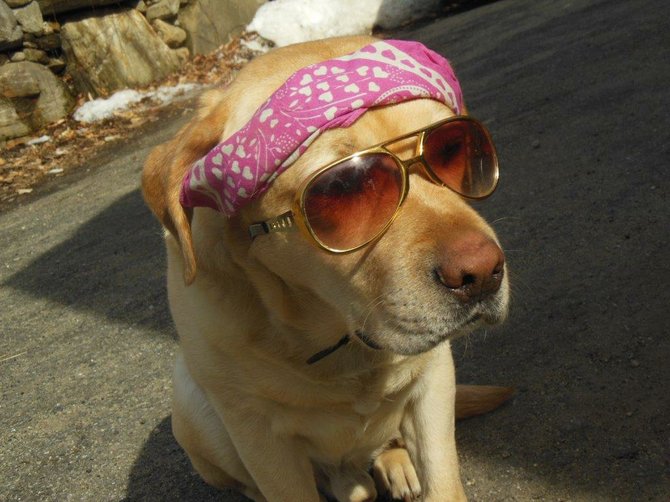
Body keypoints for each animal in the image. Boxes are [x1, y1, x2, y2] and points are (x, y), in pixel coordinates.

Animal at [144, 36, 516, 502]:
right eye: (343, 188)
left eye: (454, 148)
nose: (482, 272)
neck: (340, 342)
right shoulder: (257, 435)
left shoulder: (433, 382)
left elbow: (443, 482)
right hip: (192, 413)